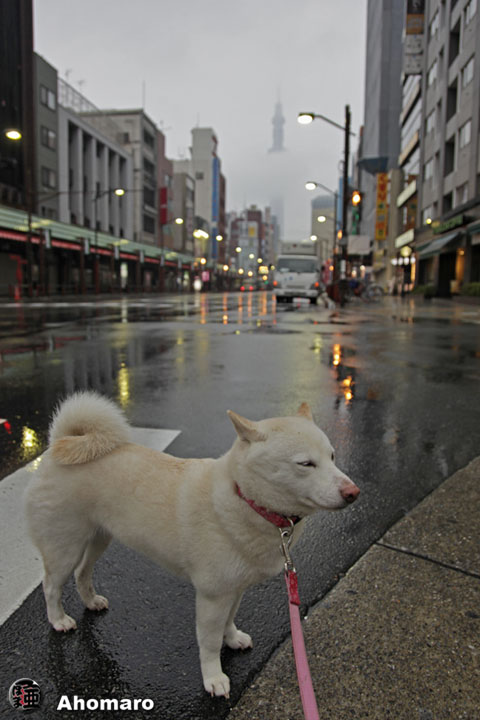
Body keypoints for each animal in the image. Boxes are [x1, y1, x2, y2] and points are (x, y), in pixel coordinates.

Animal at [24, 392, 359, 698]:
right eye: (306, 464)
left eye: (332, 457)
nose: (353, 492)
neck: (246, 499)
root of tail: (60, 444)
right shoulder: (212, 595)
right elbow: (209, 642)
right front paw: (214, 678)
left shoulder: (234, 589)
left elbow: (229, 621)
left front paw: (232, 639)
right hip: (64, 548)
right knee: (51, 585)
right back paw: (58, 620)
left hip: (99, 538)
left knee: (83, 572)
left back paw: (91, 601)